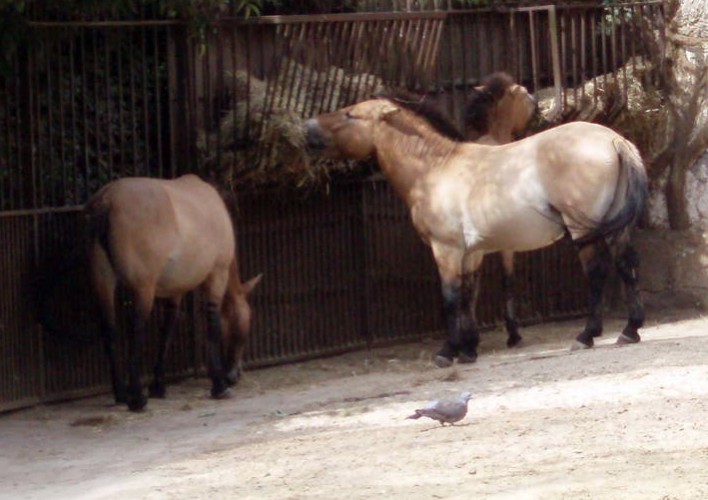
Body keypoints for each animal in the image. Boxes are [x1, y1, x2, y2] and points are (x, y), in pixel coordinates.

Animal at [85, 174, 261, 411]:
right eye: (245, 324)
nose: (234, 375)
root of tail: (107, 199)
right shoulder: (217, 275)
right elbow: (213, 325)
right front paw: (219, 385)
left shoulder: (175, 291)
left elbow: (167, 330)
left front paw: (159, 385)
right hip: (143, 288)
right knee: (135, 330)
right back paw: (136, 398)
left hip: (103, 282)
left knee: (110, 330)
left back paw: (121, 394)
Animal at [304, 96, 647, 368]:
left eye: (350, 114)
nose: (307, 128)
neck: (436, 169)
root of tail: (614, 140)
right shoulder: (470, 252)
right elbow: (469, 295)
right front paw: (468, 349)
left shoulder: (446, 250)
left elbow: (451, 297)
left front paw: (448, 351)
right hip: (614, 229)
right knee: (626, 267)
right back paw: (630, 330)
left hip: (582, 229)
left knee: (597, 273)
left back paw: (587, 335)